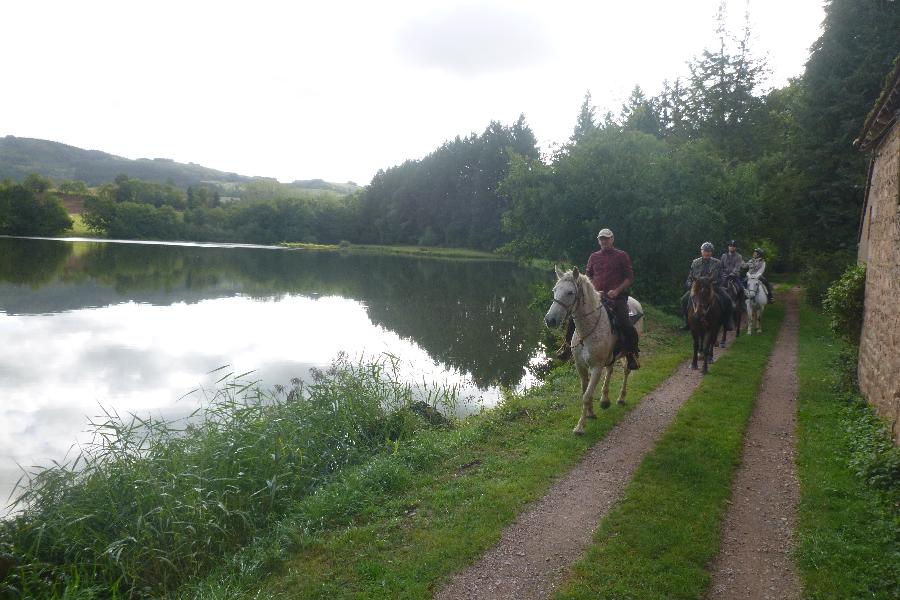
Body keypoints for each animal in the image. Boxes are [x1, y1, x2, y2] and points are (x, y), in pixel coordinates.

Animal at [544, 264, 644, 434]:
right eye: (554, 290)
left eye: (570, 292)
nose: (550, 320)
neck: (588, 331)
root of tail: (635, 303)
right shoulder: (581, 366)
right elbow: (585, 392)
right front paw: (590, 413)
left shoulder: (596, 367)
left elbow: (587, 395)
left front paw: (580, 427)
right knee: (610, 370)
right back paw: (605, 400)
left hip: (627, 354)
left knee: (626, 370)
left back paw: (621, 398)